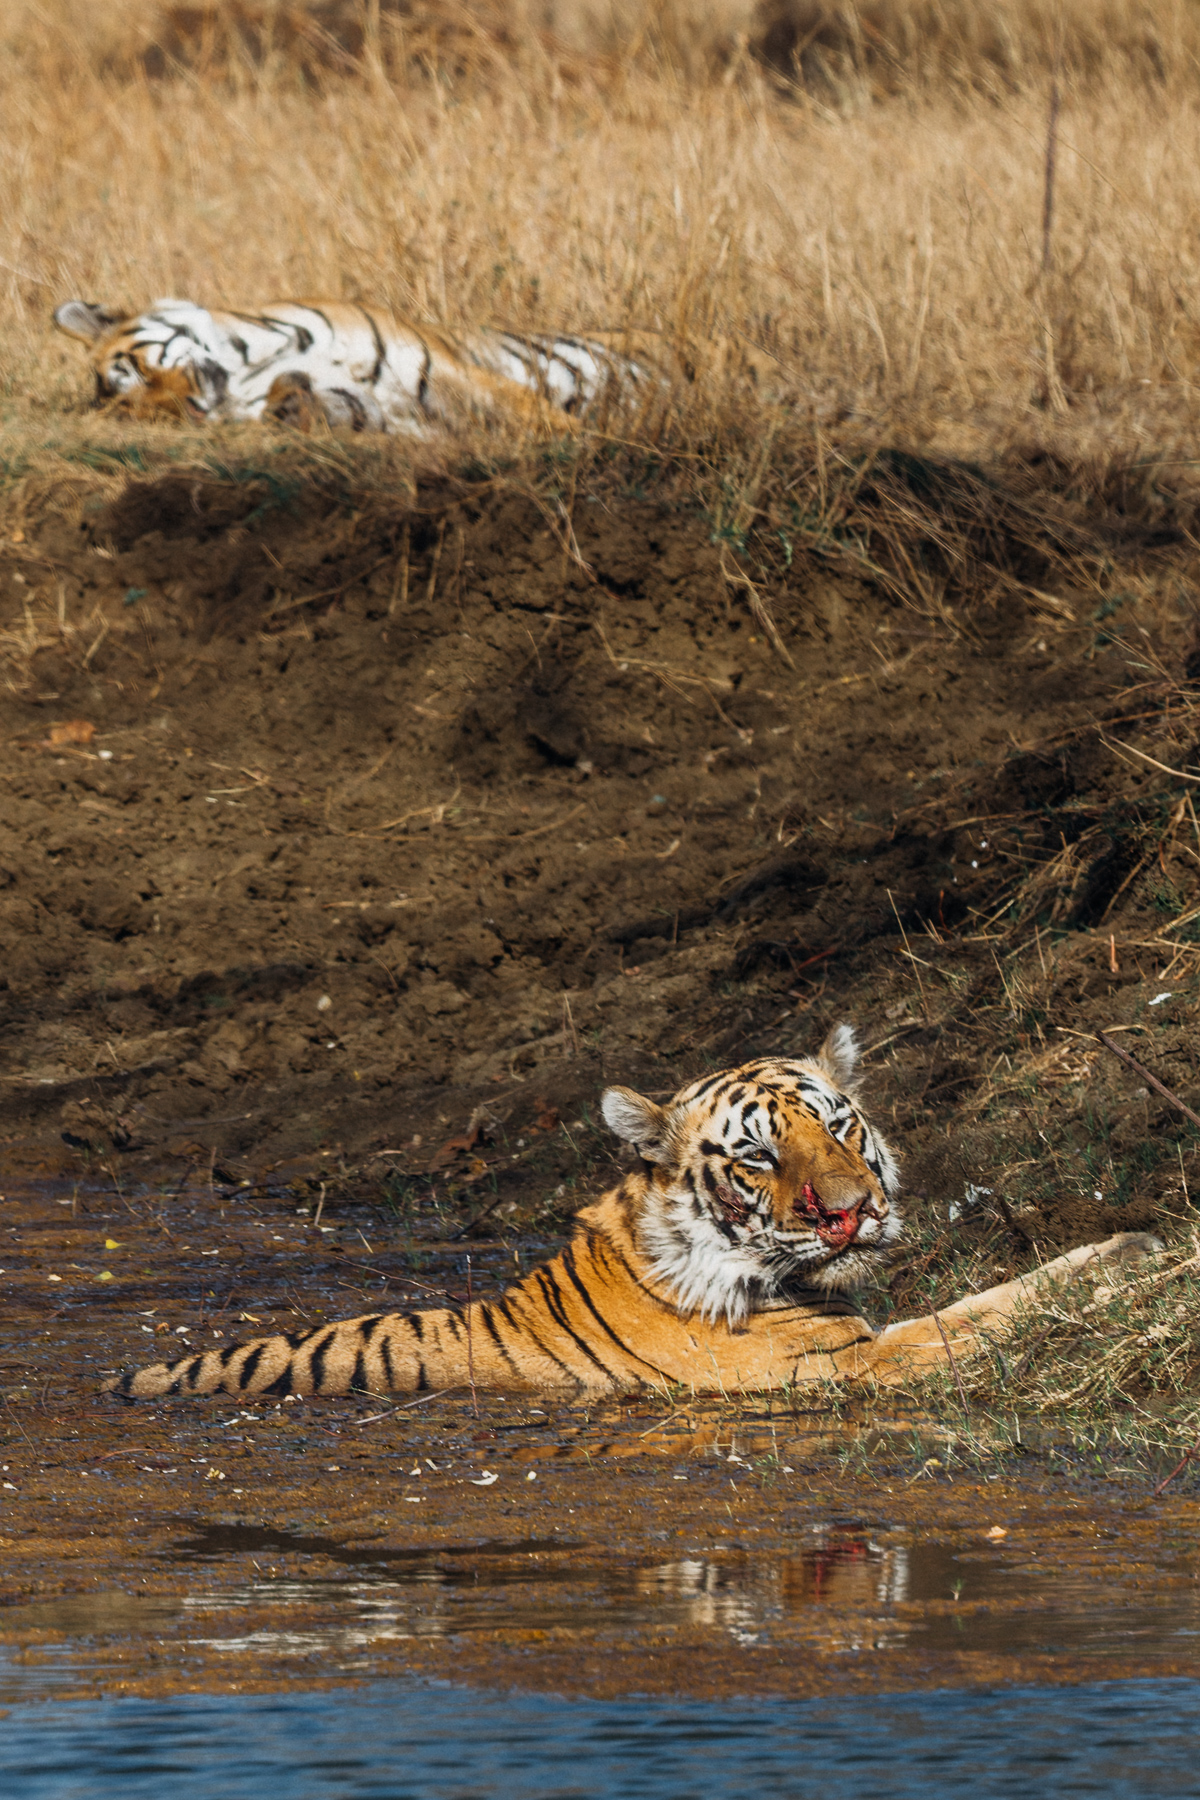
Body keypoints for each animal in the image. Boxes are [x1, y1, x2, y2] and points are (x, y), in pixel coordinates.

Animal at [106, 1025, 1160, 1402]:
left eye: (838, 1127)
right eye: (758, 1156)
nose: (851, 1216)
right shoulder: (855, 1361)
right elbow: (988, 1311)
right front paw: (1137, 1251)